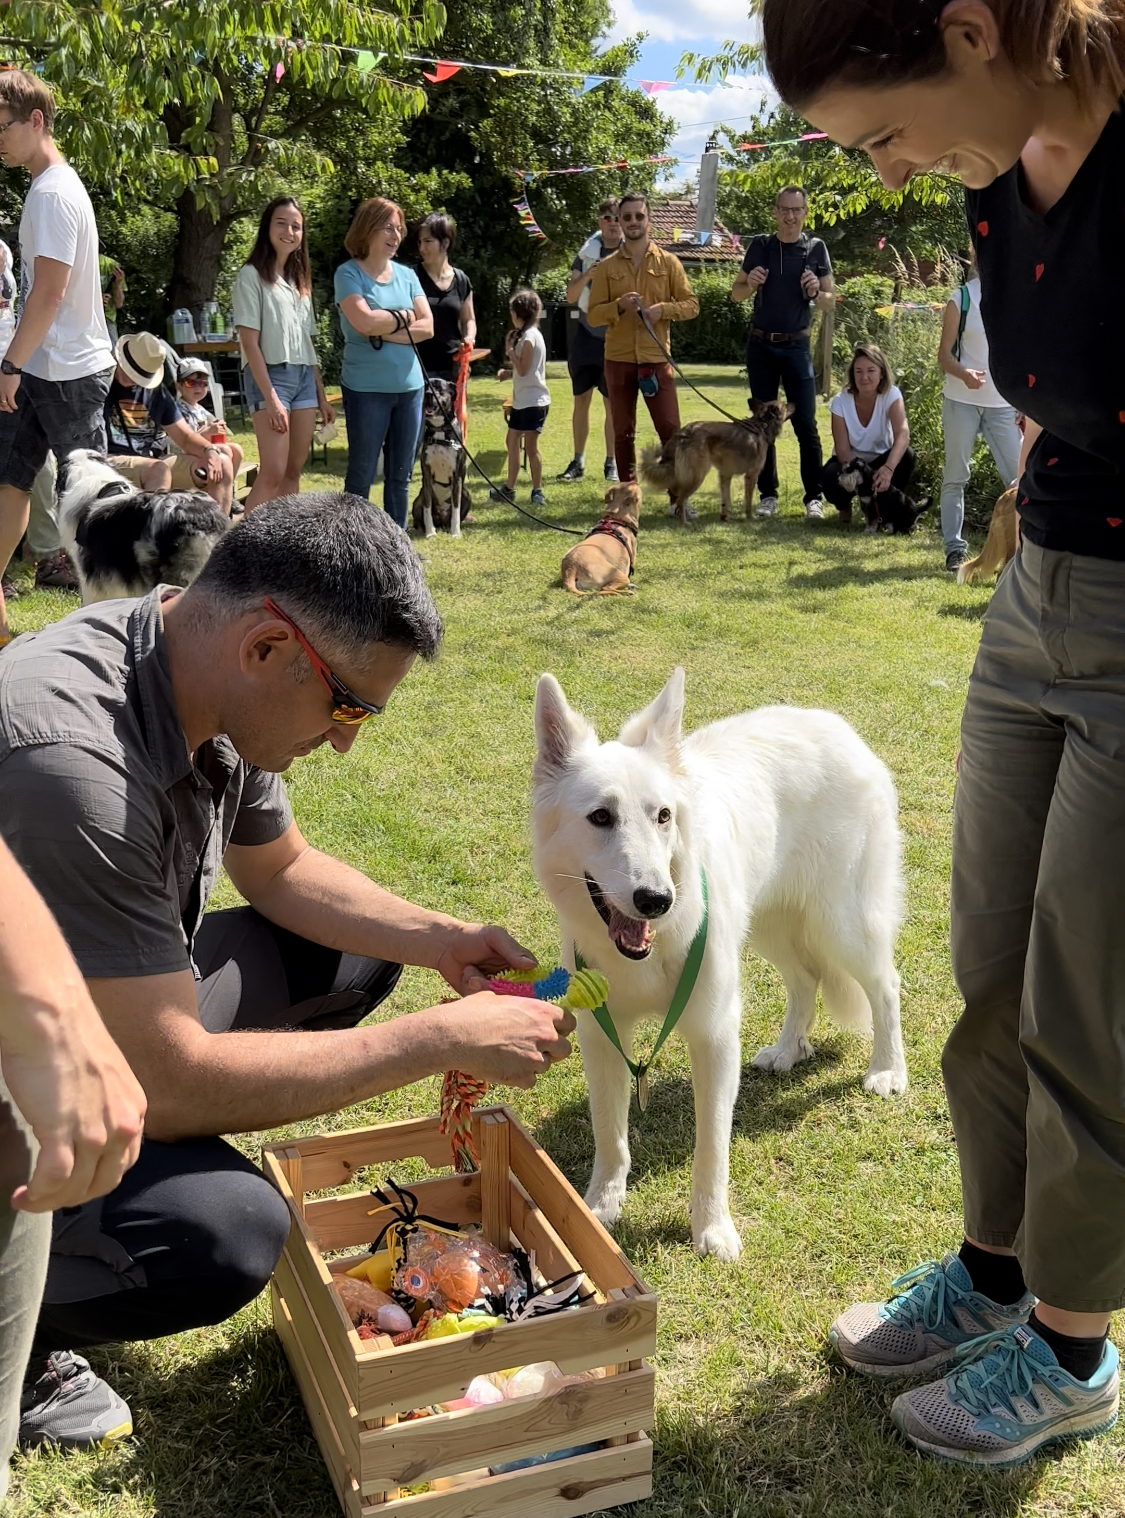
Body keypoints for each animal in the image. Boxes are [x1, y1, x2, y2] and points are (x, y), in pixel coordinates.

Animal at [409, 379, 467, 540]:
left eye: (439, 388)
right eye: (426, 386)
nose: (428, 394)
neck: (440, 430)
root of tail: (441, 520)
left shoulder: (457, 477)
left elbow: (456, 510)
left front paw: (455, 533)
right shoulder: (427, 476)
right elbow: (427, 508)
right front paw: (430, 532)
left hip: (466, 495)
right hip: (418, 498)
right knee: (419, 519)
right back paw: (419, 530)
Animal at [531, 670, 910, 1262]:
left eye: (664, 816)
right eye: (600, 817)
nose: (656, 900)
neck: (653, 948)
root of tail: (838, 727)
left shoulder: (713, 1036)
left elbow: (711, 1147)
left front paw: (712, 1229)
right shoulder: (602, 1037)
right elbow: (609, 1133)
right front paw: (599, 1205)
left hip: (841, 923)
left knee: (884, 984)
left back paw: (888, 1070)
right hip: (770, 924)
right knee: (805, 978)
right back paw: (788, 1049)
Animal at [637, 397, 795, 522]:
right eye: (785, 405)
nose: (794, 402)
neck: (760, 425)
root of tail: (684, 432)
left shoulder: (725, 475)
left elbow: (726, 500)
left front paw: (725, 518)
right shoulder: (751, 476)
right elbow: (748, 501)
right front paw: (750, 518)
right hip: (697, 476)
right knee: (680, 499)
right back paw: (684, 523)